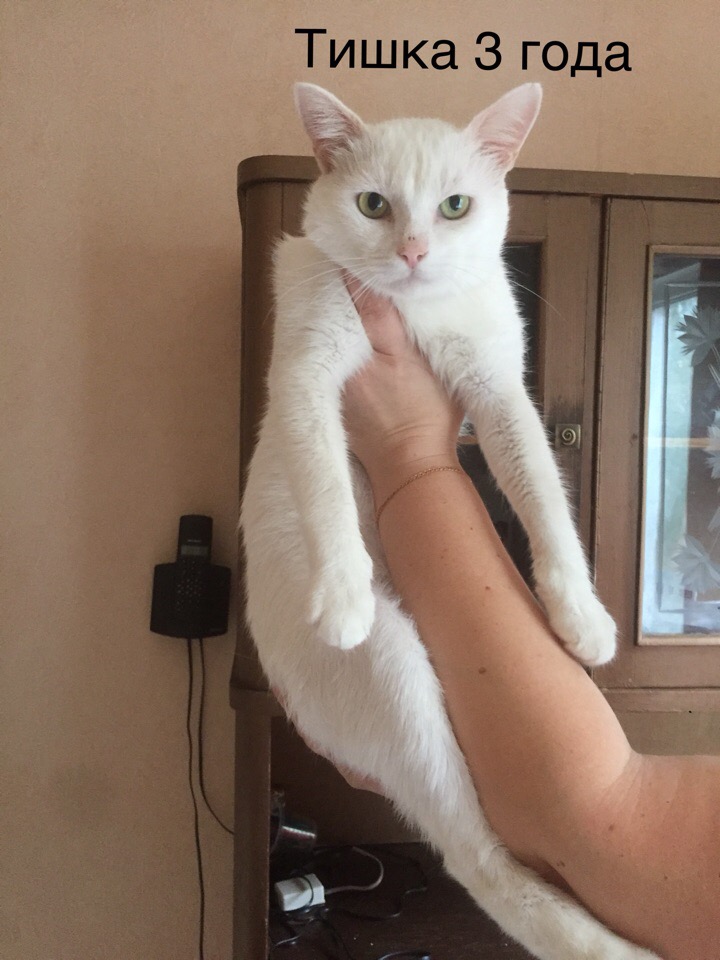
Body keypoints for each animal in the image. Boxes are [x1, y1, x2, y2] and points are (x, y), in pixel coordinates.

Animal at [241, 83, 659, 960]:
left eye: (455, 206)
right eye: (373, 204)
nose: (412, 251)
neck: (411, 313)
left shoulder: (498, 389)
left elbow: (542, 493)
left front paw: (582, 616)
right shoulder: (305, 378)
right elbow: (324, 483)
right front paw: (342, 597)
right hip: (396, 671)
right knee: (473, 854)